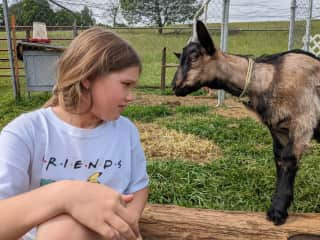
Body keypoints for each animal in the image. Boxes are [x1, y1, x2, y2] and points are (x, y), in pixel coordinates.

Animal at [171, 20, 320, 225]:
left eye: (194, 58)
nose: (174, 87)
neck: (270, 78)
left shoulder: (303, 121)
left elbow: (289, 160)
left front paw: (278, 211)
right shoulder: (278, 129)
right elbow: (279, 159)